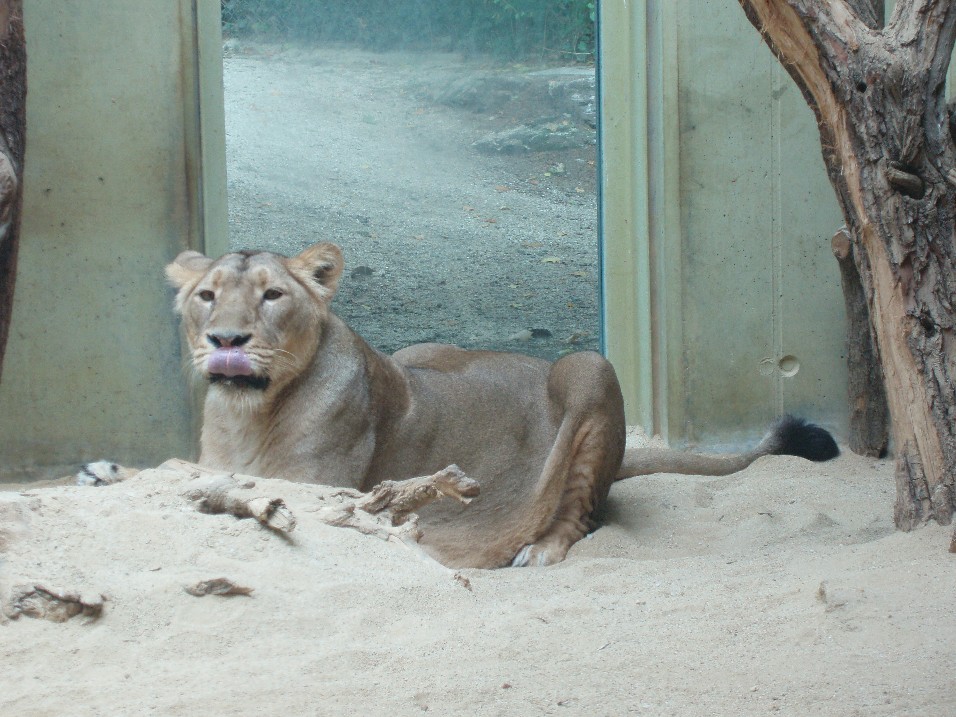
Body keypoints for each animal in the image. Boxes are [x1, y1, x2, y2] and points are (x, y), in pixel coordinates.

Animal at [79, 242, 838, 568]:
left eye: (272, 295)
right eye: (207, 295)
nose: (226, 341)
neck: (246, 414)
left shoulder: (319, 488)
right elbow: (172, 475)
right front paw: (103, 472)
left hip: (590, 371)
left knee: (583, 511)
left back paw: (539, 549)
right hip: (421, 348)